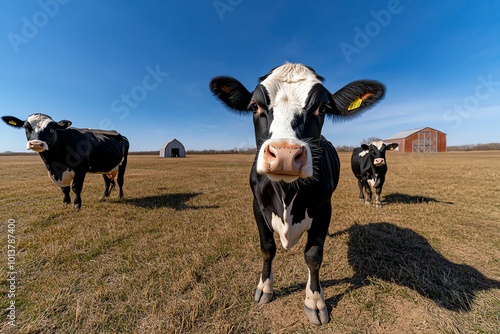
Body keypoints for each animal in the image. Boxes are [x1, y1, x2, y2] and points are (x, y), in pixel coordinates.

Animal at [1, 114, 129, 209]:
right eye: (26, 128)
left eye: (52, 128)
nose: (37, 143)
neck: (55, 164)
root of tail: (120, 135)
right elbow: (64, 188)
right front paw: (66, 202)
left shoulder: (80, 169)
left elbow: (76, 187)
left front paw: (76, 204)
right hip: (104, 166)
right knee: (107, 181)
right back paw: (103, 197)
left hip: (123, 162)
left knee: (120, 180)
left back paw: (120, 195)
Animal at [209, 62, 384, 324]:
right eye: (254, 106)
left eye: (322, 108)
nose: (284, 154)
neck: (286, 193)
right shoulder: (257, 206)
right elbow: (267, 248)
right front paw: (265, 288)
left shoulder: (324, 208)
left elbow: (313, 255)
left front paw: (315, 302)